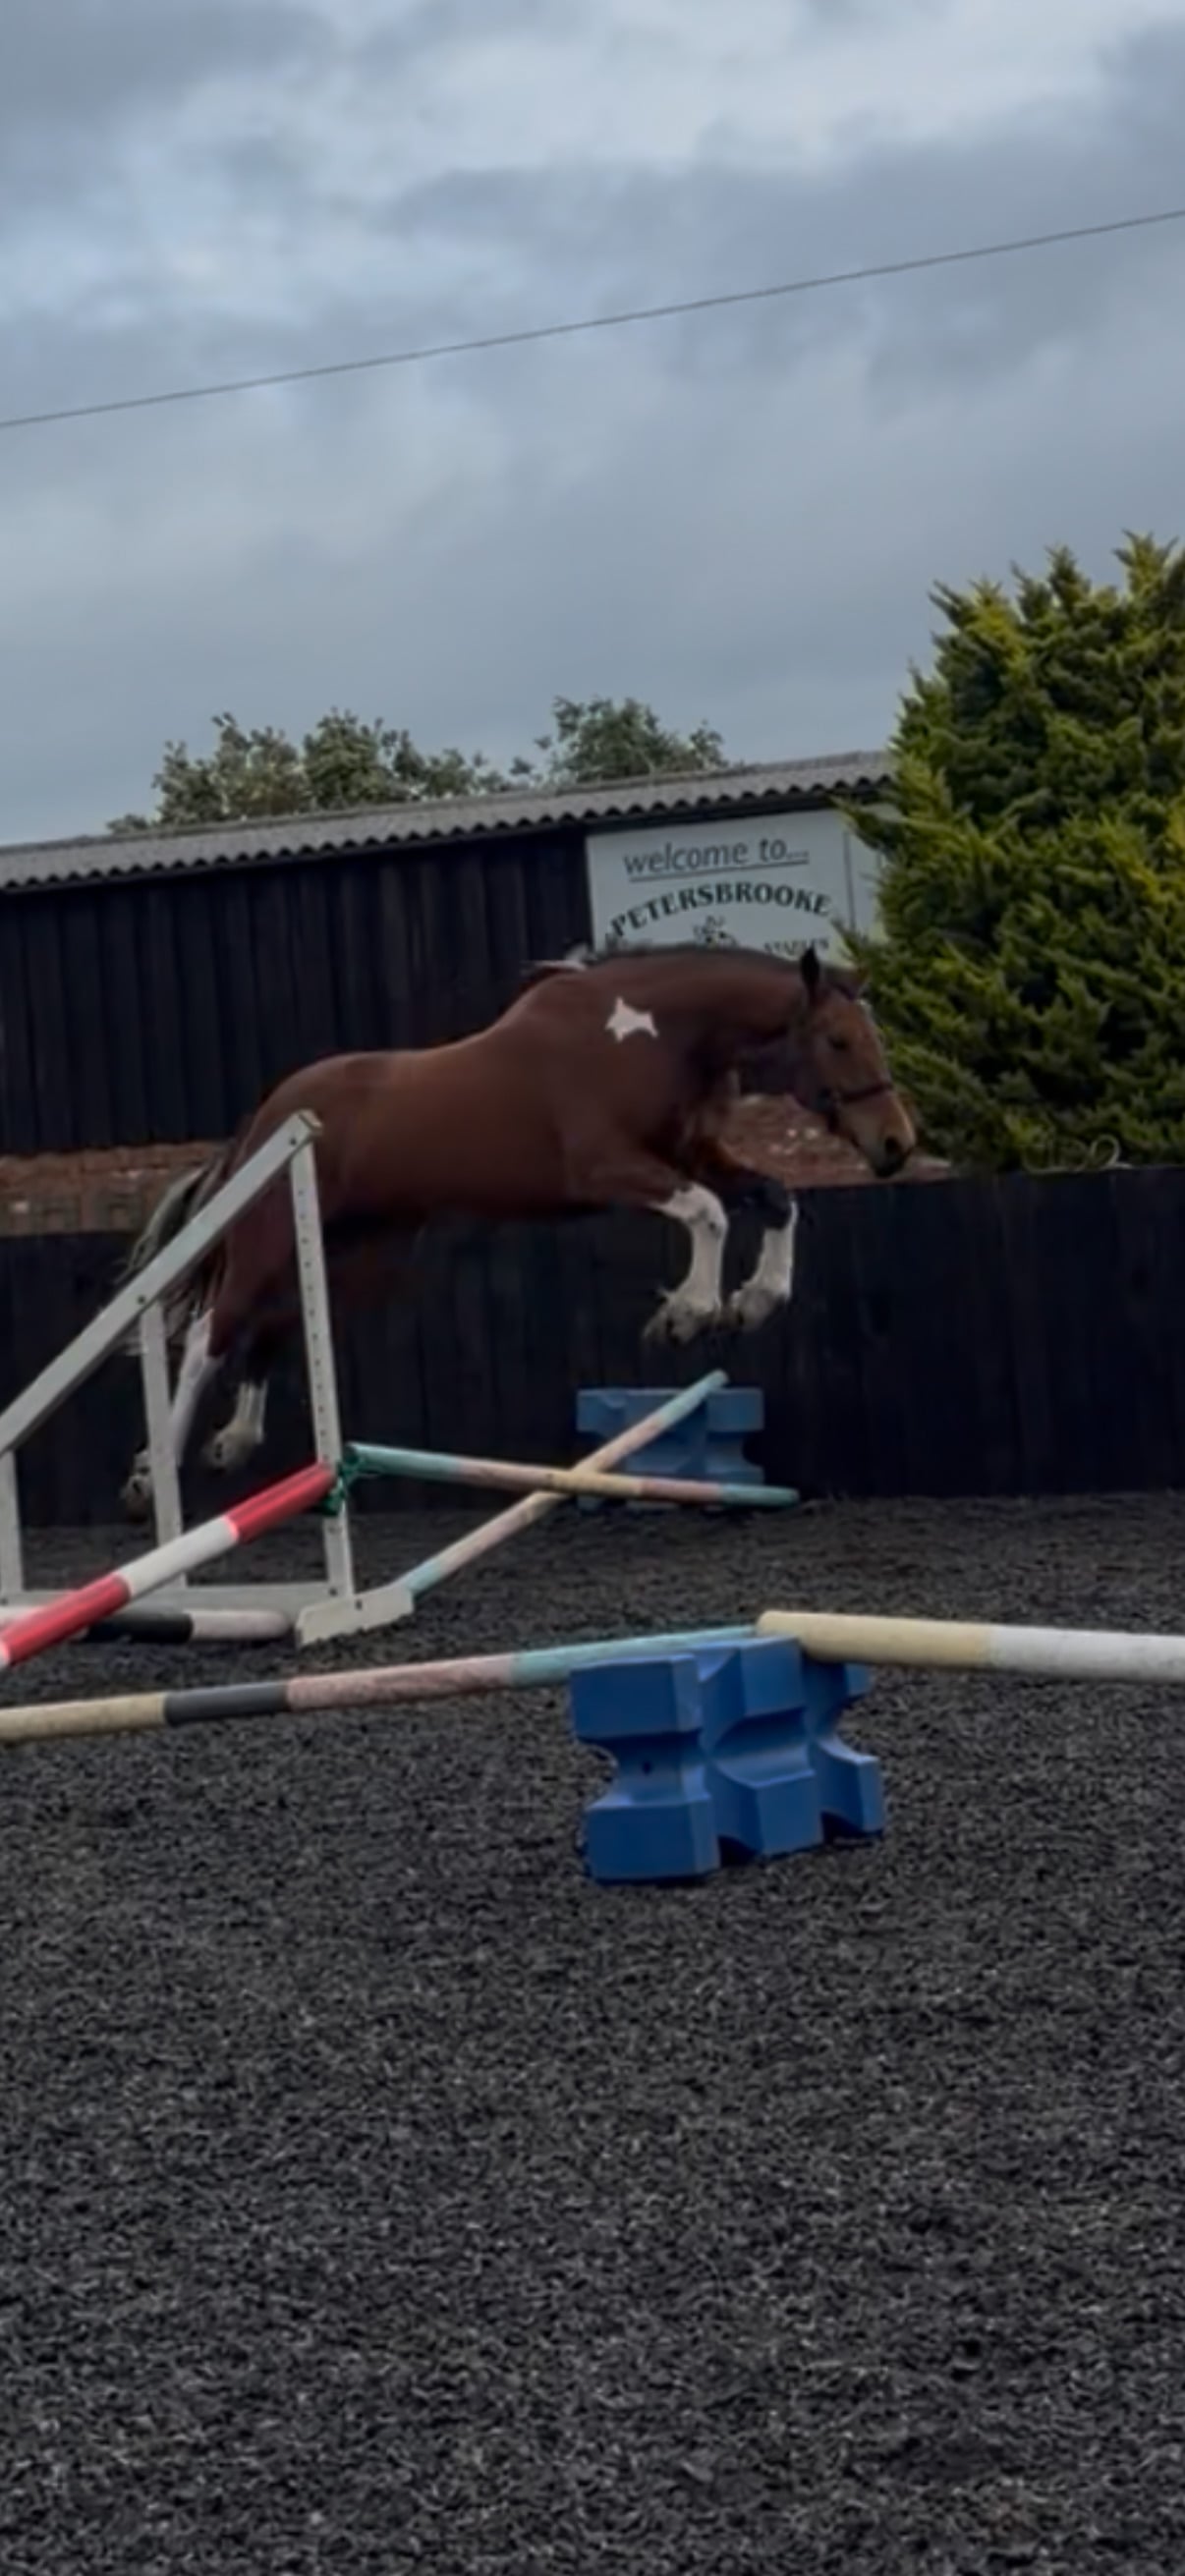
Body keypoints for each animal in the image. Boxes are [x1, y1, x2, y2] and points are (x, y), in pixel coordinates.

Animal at [117, 940, 916, 1518]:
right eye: (839, 1041)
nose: (896, 1145)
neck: (653, 1036)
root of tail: (264, 1118)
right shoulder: (609, 1169)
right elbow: (708, 1212)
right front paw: (687, 1316)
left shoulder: (694, 1155)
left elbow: (775, 1198)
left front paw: (754, 1301)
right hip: (271, 1240)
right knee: (211, 1335)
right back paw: (154, 1474)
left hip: (357, 1258)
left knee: (268, 1331)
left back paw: (233, 1442)